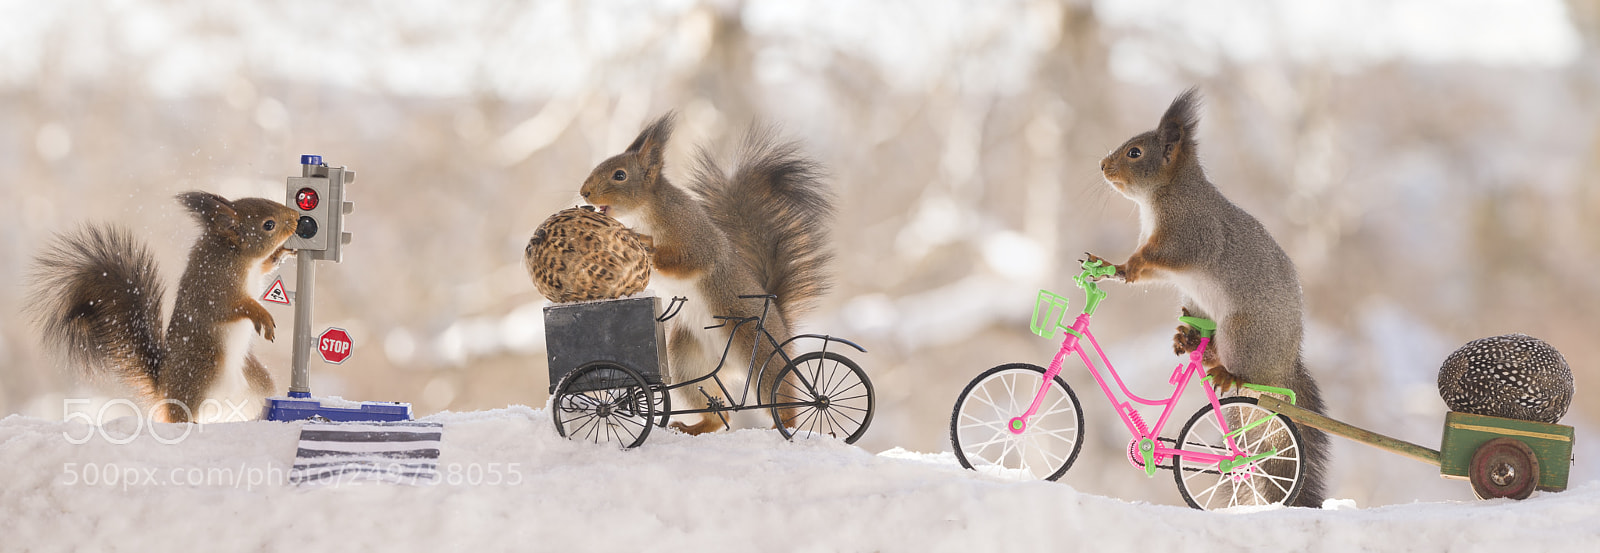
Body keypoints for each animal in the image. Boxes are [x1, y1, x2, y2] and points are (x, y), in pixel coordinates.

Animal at [29, 191, 300, 423]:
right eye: (268, 225)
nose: (296, 217)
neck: (233, 253)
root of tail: (163, 387)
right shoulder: (213, 287)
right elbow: (231, 308)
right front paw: (262, 315)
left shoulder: (253, 269)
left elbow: (266, 265)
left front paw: (285, 252)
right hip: (200, 375)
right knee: (178, 415)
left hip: (257, 382)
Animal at [579, 113, 833, 435]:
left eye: (620, 175)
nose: (584, 192)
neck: (645, 211)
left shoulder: (694, 237)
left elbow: (688, 261)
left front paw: (647, 248)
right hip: (687, 361)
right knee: (717, 413)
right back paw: (692, 427)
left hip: (760, 352)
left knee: (781, 398)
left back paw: (784, 426)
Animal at [1085, 88, 1330, 508]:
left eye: (1135, 152)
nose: (1103, 165)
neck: (1163, 195)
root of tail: (1283, 368)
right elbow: (1142, 273)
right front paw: (1113, 267)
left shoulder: (1191, 233)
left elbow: (1162, 256)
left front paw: (1130, 262)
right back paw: (1191, 340)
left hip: (1242, 332)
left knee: (1241, 370)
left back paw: (1226, 371)